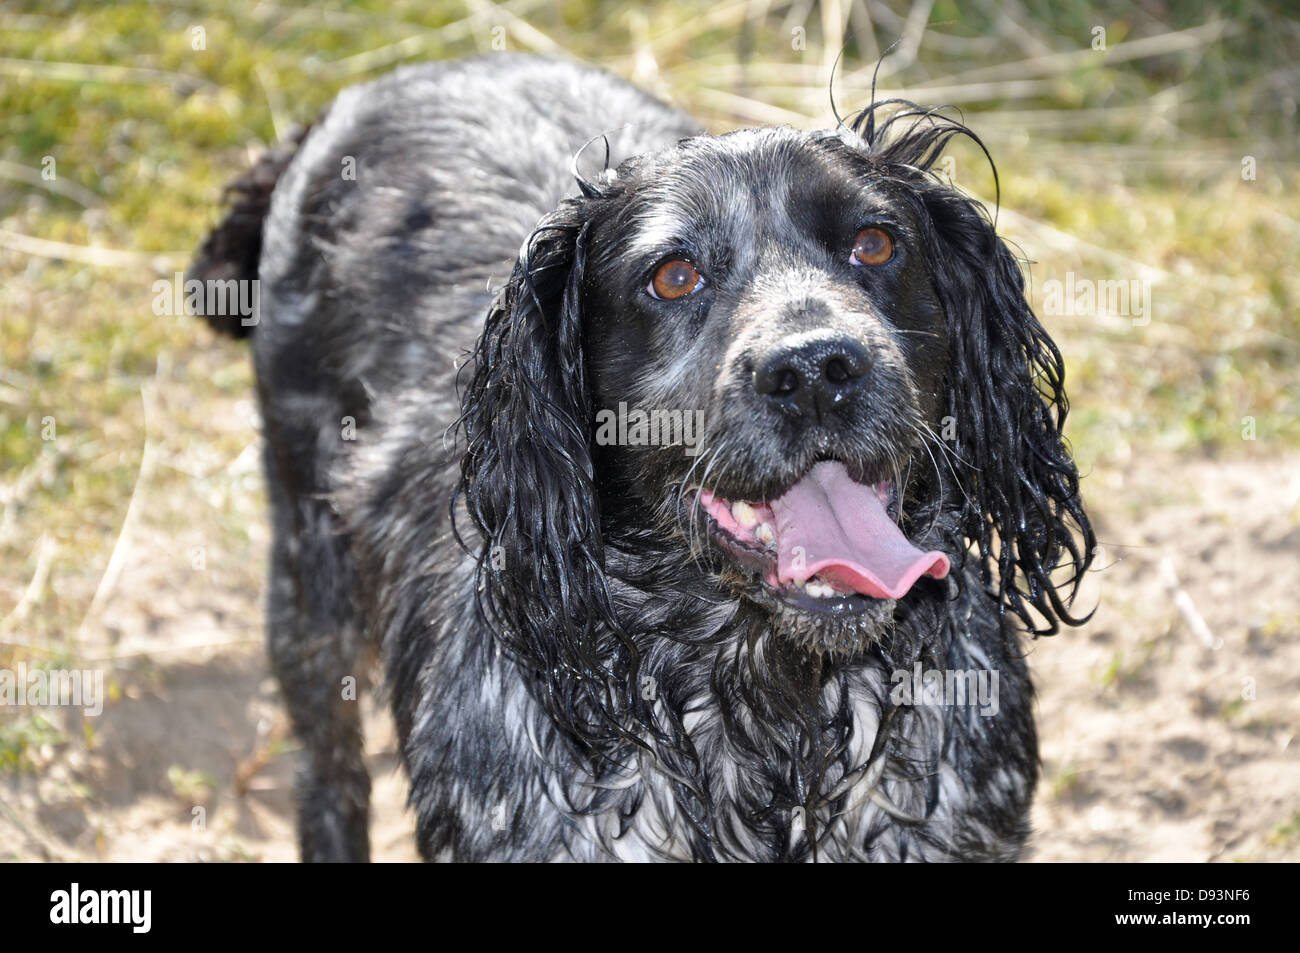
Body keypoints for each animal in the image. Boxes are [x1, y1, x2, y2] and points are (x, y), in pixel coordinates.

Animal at [188, 52, 1092, 858]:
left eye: (874, 244)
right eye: (673, 276)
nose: (815, 370)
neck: (762, 706)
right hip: (309, 587)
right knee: (328, 774)